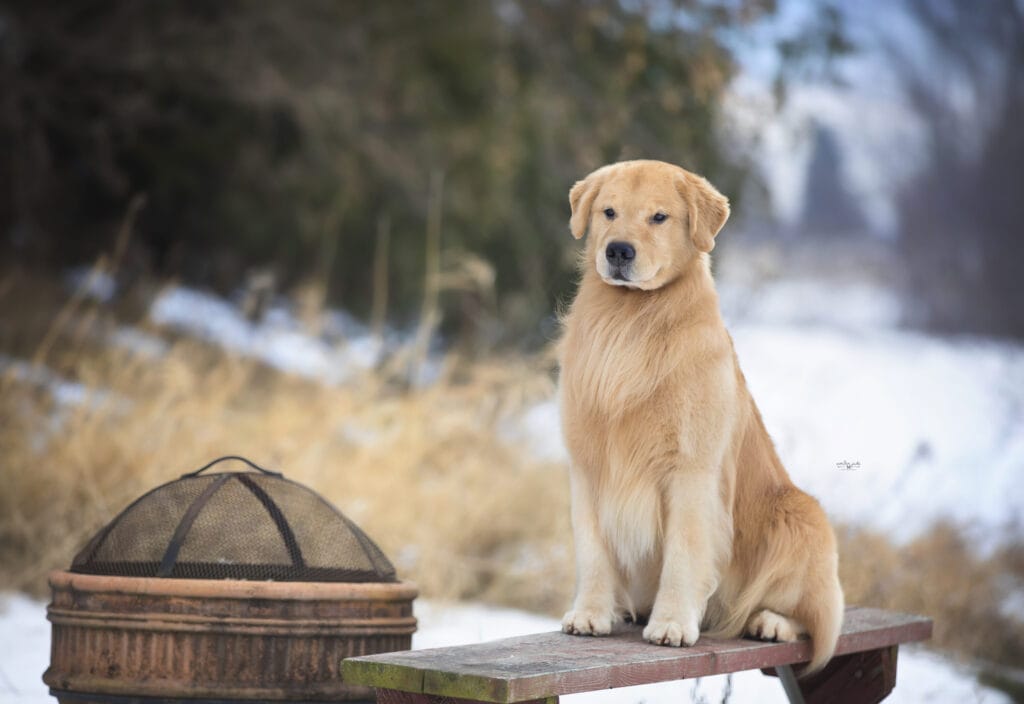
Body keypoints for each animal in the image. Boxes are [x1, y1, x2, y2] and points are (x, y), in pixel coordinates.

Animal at [561, 156, 839, 675]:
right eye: (609, 212)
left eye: (659, 217)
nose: (618, 251)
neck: (632, 321)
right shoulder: (587, 467)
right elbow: (592, 551)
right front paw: (590, 613)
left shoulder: (691, 471)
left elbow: (683, 553)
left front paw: (671, 623)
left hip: (802, 516)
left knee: (812, 619)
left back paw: (769, 621)